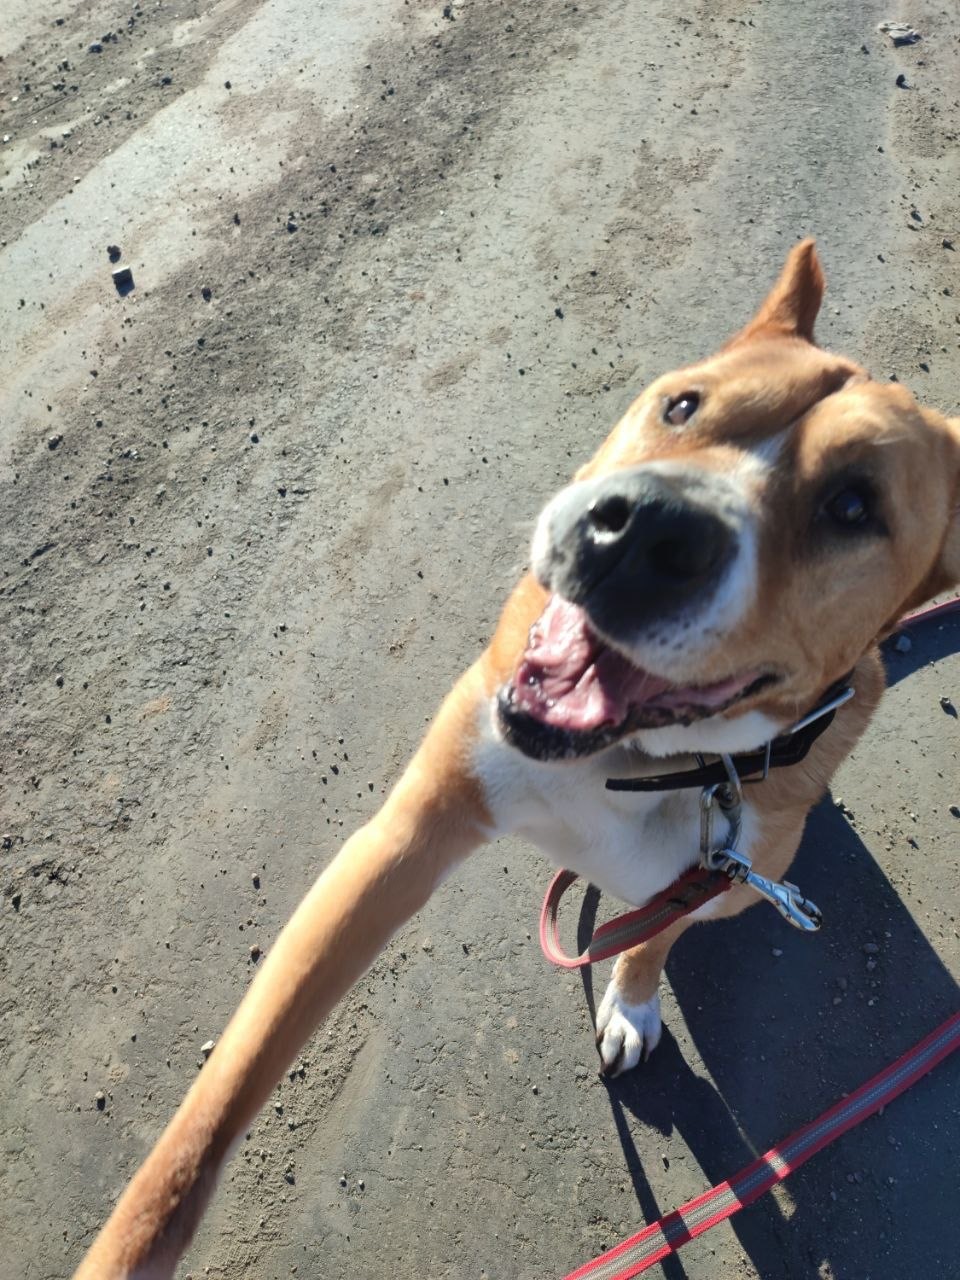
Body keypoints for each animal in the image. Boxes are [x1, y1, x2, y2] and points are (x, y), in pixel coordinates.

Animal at [75, 241, 960, 1278]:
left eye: (853, 506)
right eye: (683, 407)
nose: (640, 527)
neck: (629, 764)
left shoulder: (708, 876)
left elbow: (651, 938)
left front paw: (631, 1004)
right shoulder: (403, 836)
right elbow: (221, 1099)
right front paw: (132, 1244)